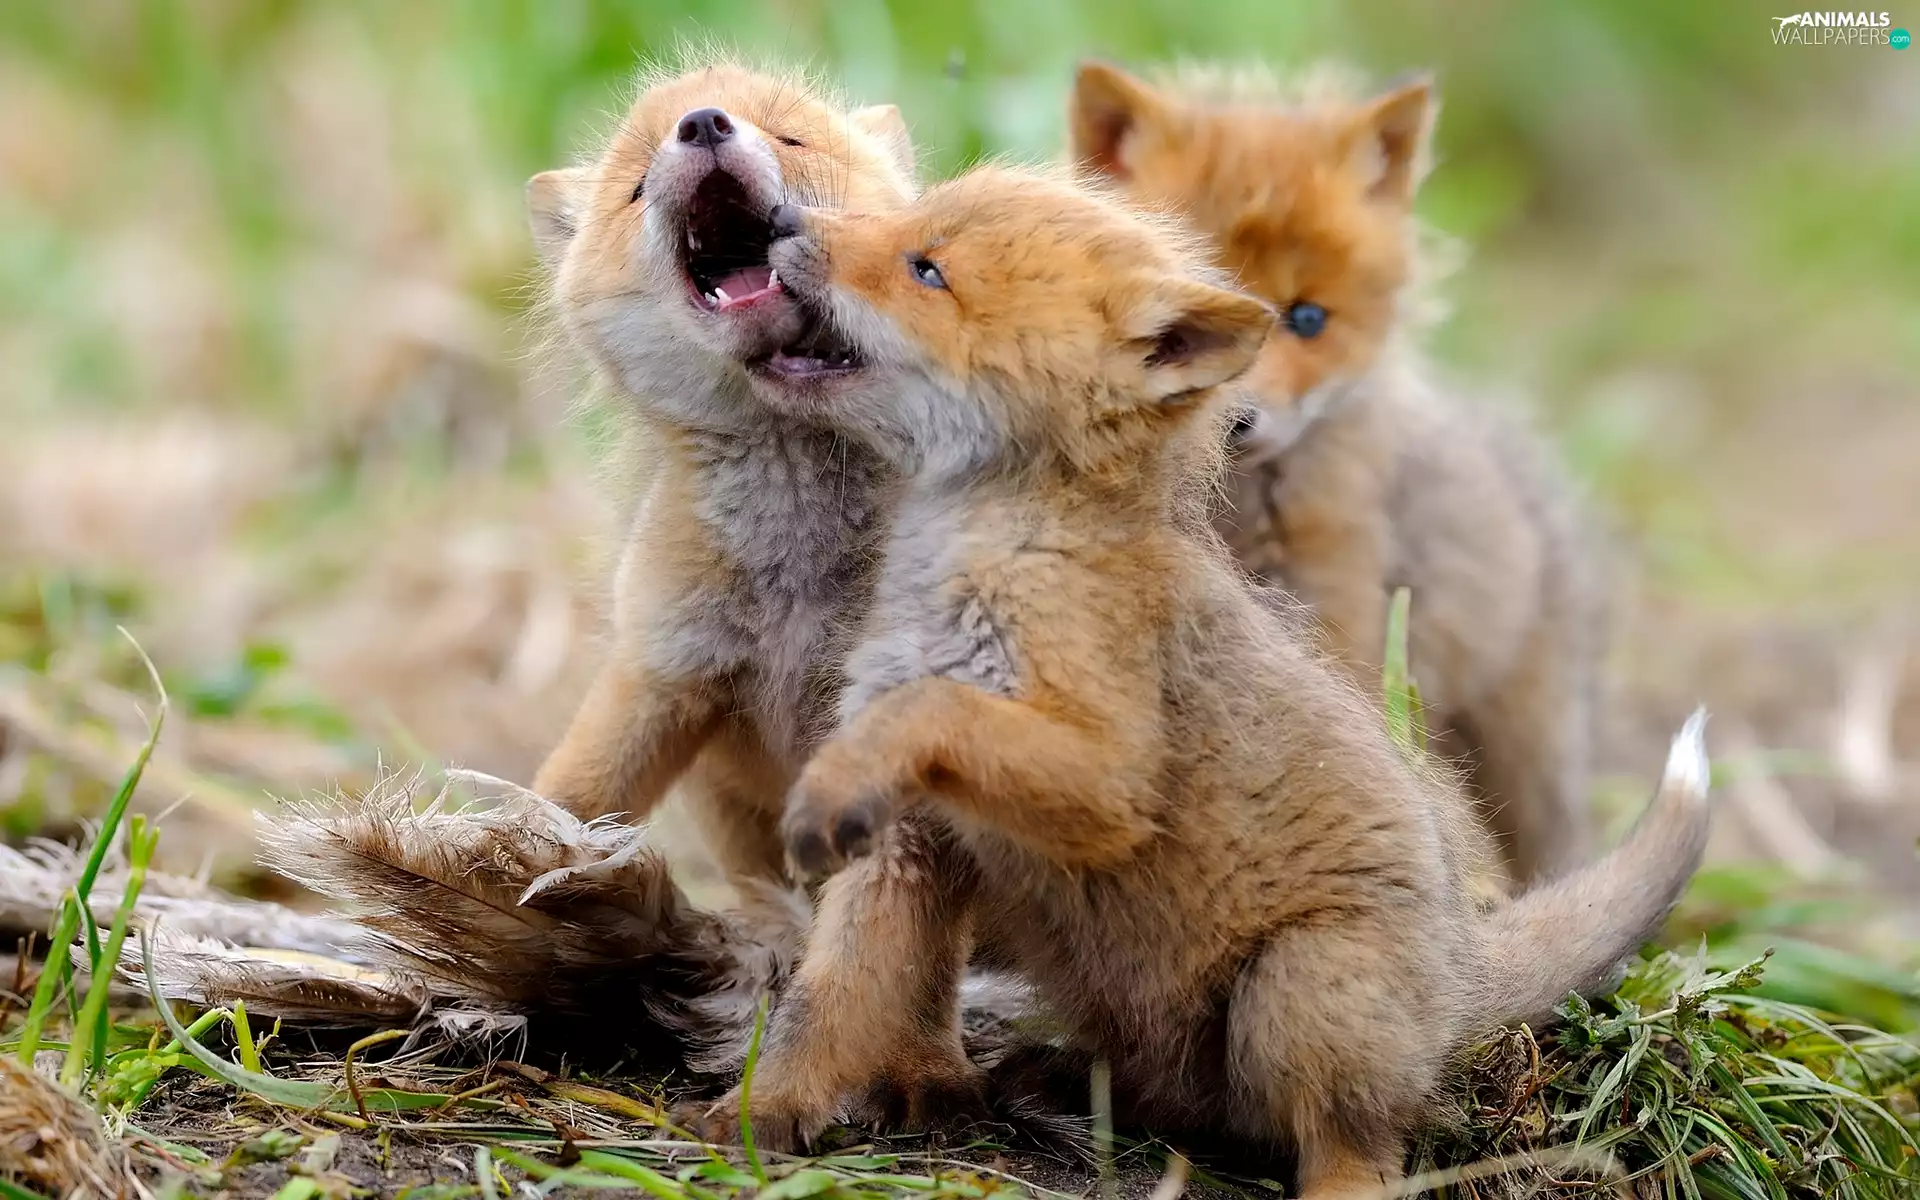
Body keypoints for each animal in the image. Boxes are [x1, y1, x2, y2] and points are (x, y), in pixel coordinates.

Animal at [681, 166, 1712, 1200]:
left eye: (925, 268)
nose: (785, 218)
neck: (993, 556)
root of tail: (1464, 972)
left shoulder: (1105, 782)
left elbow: (937, 707)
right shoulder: (908, 851)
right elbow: (827, 1007)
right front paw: (757, 1122)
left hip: (1302, 987)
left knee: (1357, 1143)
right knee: (1183, 1108)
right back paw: (1056, 1083)